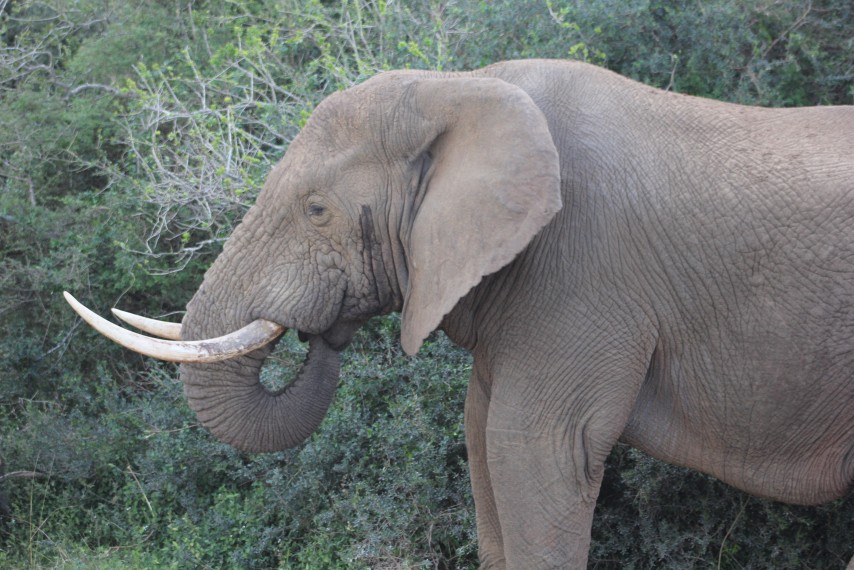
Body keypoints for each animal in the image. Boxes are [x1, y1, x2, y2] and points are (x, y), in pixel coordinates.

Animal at [66, 59, 854, 568]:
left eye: (316, 210)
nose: (323, 332)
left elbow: (532, 449)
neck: (462, 89)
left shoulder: (582, 273)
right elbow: (480, 440)